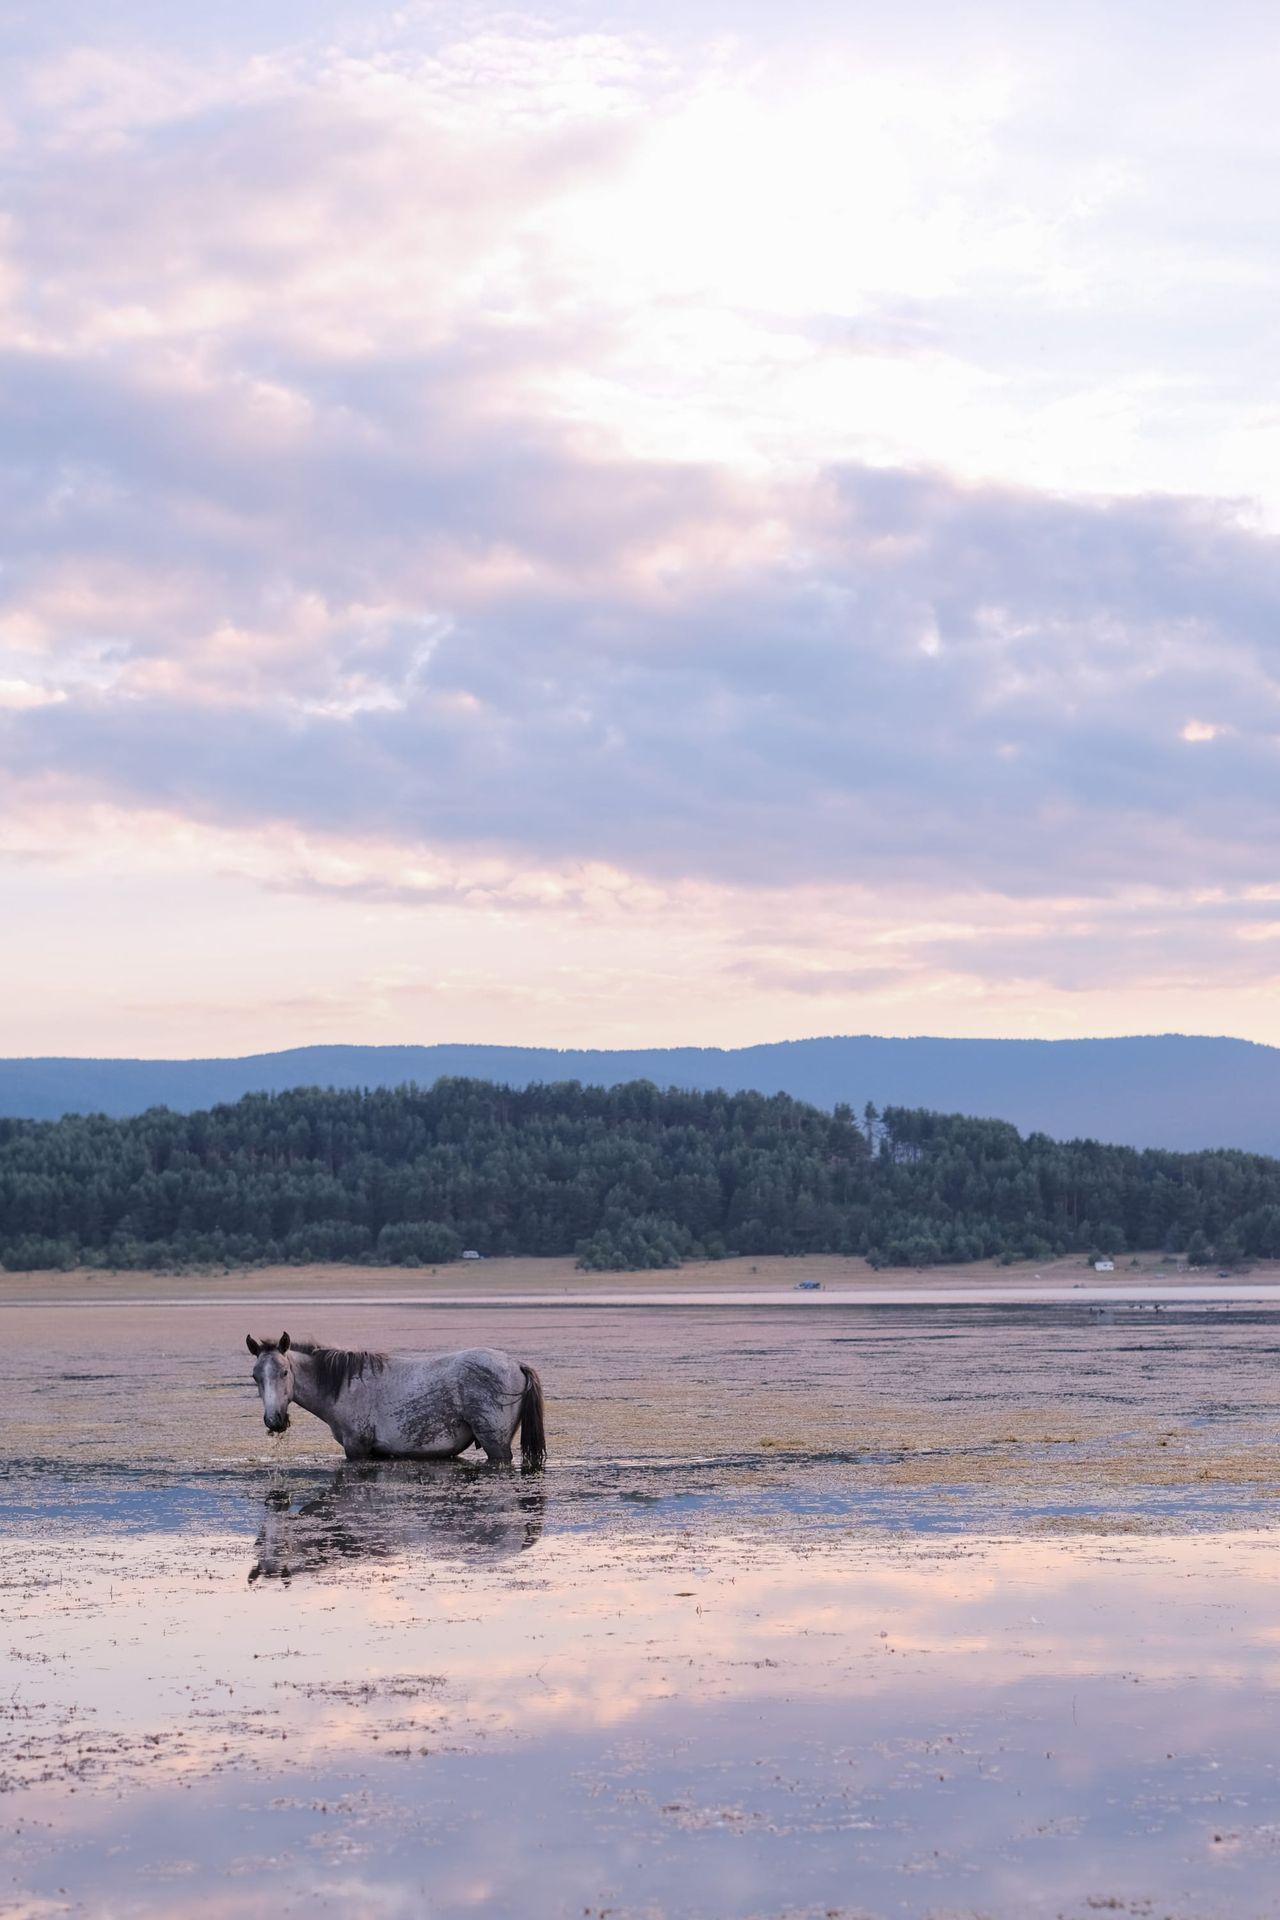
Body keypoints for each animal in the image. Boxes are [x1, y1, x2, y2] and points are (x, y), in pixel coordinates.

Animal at [245, 1333, 546, 1468]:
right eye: (255, 1376)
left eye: (285, 1372)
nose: (274, 1420)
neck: (344, 1387)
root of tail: (516, 1364)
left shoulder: (358, 1450)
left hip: (496, 1446)